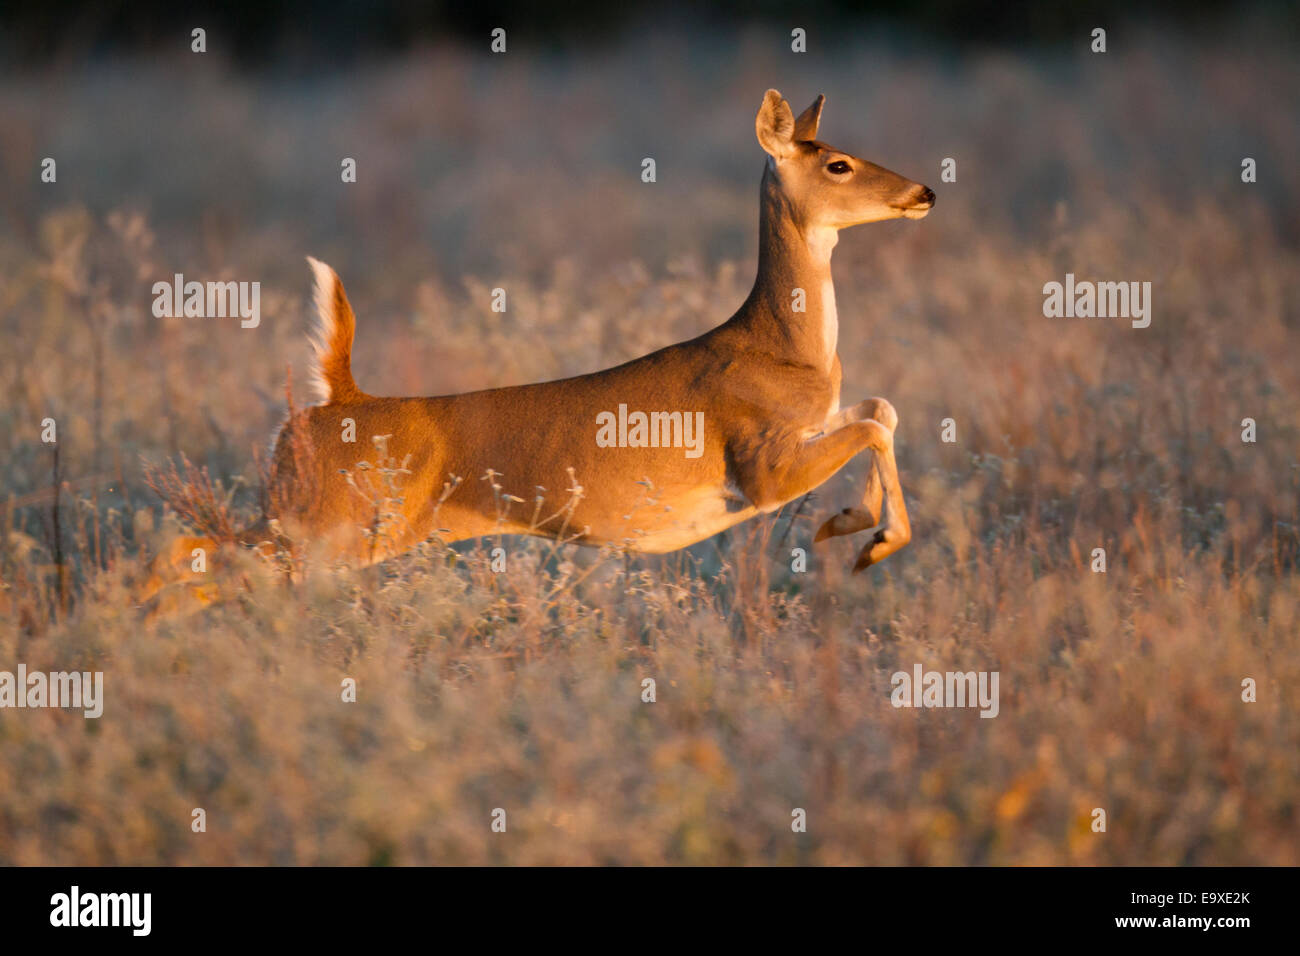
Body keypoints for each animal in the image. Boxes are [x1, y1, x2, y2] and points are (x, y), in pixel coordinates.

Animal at [139, 91, 935, 613]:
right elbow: (873, 423)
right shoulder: (762, 468)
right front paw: (872, 539)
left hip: (314, 522)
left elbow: (882, 408)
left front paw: (850, 523)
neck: (787, 348)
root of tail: (333, 401)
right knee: (194, 556)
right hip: (330, 523)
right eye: (838, 164)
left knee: (192, 555)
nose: (925, 189)